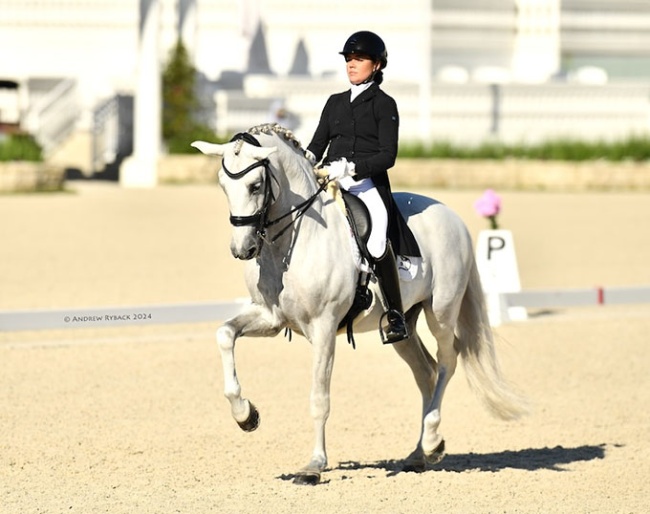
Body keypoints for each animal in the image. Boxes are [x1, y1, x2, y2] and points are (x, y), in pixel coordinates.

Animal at [190, 122, 524, 482]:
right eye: (223, 185)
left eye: (255, 185)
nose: (243, 249)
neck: (293, 240)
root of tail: (451, 216)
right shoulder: (269, 317)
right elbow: (225, 335)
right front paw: (246, 416)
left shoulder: (323, 328)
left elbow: (319, 397)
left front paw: (314, 466)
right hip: (403, 324)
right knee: (427, 372)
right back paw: (418, 455)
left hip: (442, 312)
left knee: (448, 359)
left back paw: (433, 442)